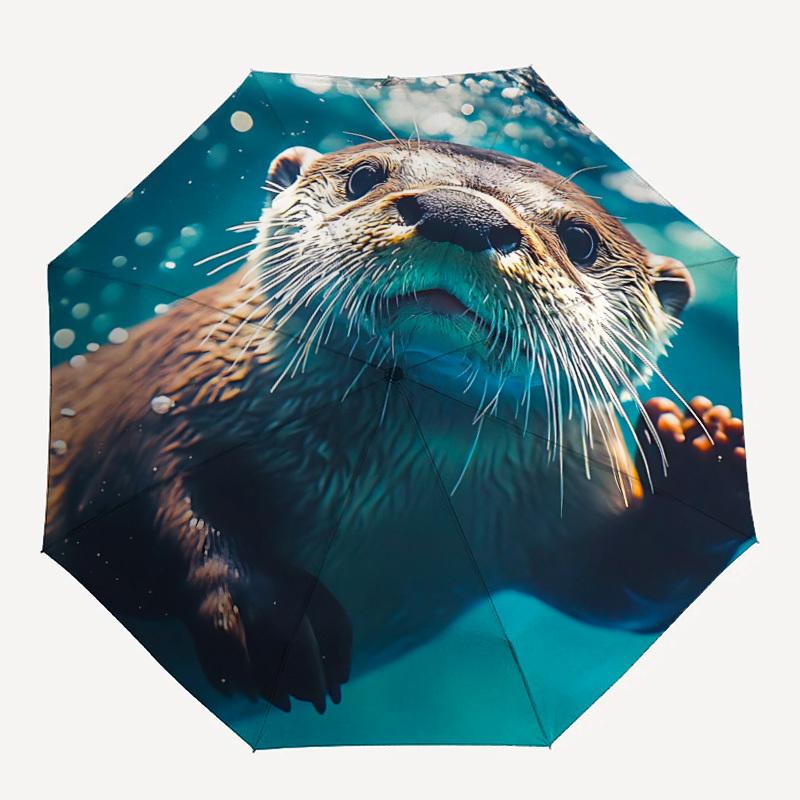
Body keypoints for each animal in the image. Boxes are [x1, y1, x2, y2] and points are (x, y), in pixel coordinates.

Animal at [45, 139, 753, 715]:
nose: (460, 214)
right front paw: (267, 610)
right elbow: (147, 497)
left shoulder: (565, 511)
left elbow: (627, 584)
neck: (381, 493)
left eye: (580, 240)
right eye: (363, 176)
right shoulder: (166, 394)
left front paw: (707, 455)